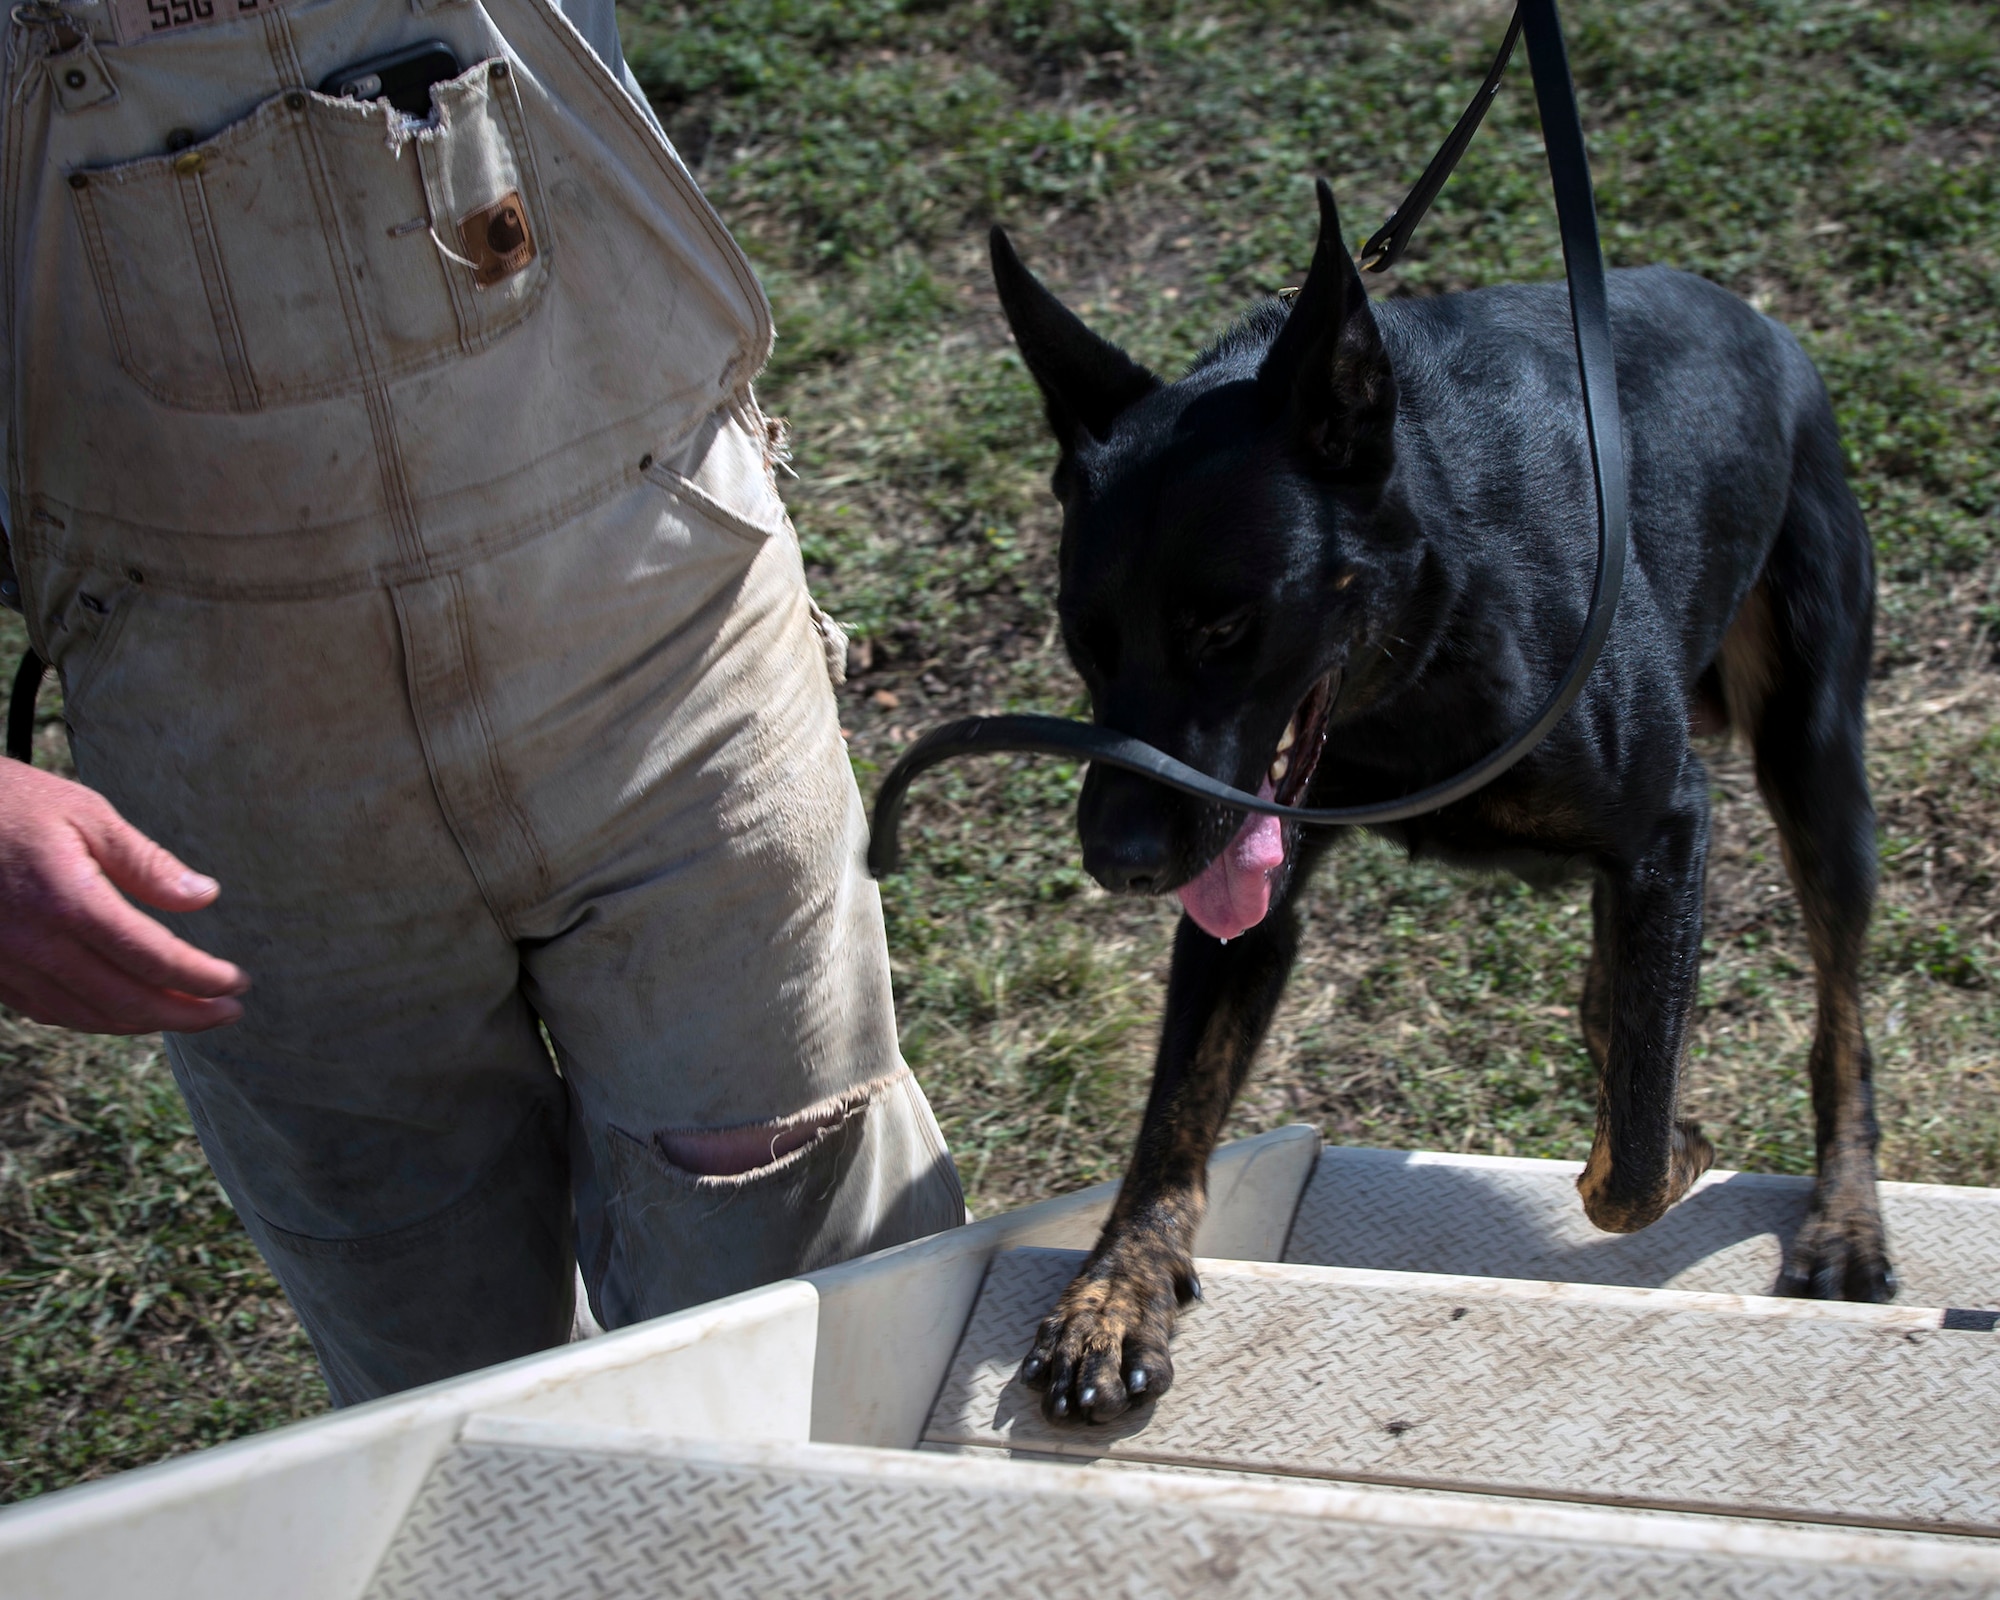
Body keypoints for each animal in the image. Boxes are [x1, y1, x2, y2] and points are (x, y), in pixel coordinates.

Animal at [1000, 184, 1888, 1424]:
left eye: (1224, 627)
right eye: (1084, 637)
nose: (1120, 861)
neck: (1423, 630)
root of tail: (1754, 318)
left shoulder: (1667, 822)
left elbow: (1629, 1160)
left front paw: (1672, 1130)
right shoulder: (1251, 890)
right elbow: (1173, 1109)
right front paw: (1114, 1286)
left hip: (1814, 757)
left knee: (1836, 1019)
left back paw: (1843, 1216)